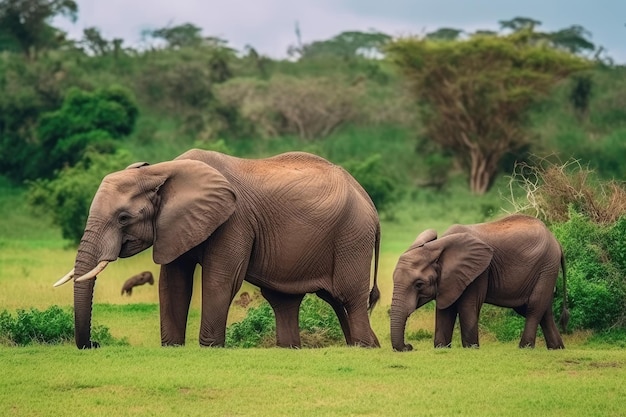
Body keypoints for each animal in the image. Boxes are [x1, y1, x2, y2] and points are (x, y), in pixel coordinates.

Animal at [53, 149, 378, 348]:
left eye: (123, 218)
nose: (94, 344)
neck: (162, 170)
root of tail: (368, 200)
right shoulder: (175, 225)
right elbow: (173, 283)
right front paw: (172, 347)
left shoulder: (235, 220)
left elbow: (219, 280)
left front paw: (209, 348)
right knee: (294, 300)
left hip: (352, 235)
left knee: (347, 296)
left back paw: (363, 347)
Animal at [392, 214, 568, 352]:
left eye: (419, 284)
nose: (409, 346)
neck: (438, 246)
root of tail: (557, 242)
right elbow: (445, 309)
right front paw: (441, 348)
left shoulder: (479, 272)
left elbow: (467, 306)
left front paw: (471, 348)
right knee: (543, 310)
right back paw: (557, 348)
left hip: (547, 266)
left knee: (534, 306)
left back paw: (525, 348)